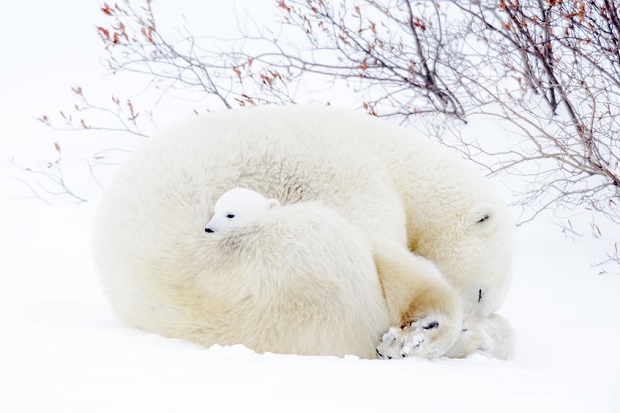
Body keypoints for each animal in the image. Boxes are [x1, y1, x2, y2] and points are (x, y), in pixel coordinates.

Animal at [94, 105, 516, 358]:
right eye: (481, 291)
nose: (473, 323)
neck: (391, 155)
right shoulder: (350, 173)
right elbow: (381, 241)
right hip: (280, 256)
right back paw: (420, 332)